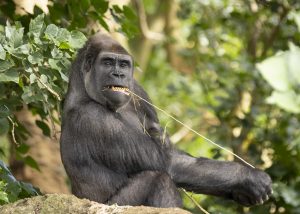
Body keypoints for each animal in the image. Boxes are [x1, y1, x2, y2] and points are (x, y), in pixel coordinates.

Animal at [59, 33, 274, 207]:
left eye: (123, 64)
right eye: (107, 62)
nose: (118, 74)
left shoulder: (136, 89)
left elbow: (164, 141)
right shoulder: (94, 118)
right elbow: (167, 162)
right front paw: (246, 178)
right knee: (157, 179)